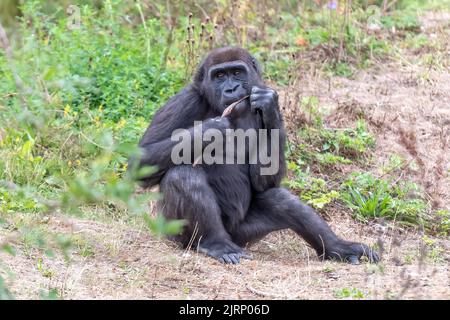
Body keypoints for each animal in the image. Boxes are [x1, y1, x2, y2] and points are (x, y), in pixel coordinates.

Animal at [131, 45, 380, 264]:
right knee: (183, 176)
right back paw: (215, 243)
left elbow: (266, 181)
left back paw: (337, 248)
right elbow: (142, 161)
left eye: (237, 72)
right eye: (219, 75)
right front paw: (210, 130)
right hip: (173, 233)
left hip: (244, 236)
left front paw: (270, 109)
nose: (231, 90)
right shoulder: (185, 100)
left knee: (281, 200)